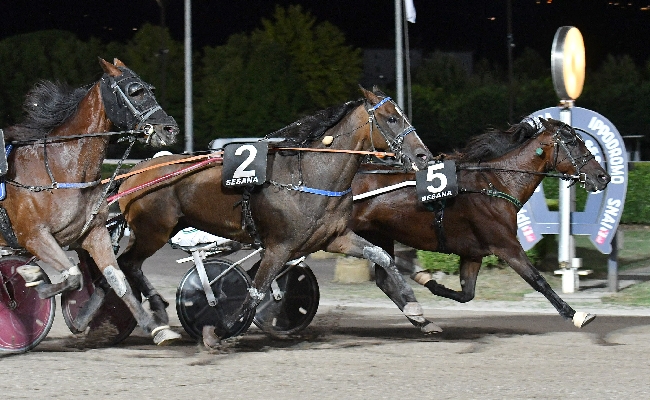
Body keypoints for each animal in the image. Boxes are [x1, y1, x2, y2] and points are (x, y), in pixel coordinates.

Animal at [0, 57, 180, 346]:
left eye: (151, 89)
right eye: (135, 91)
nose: (170, 128)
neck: (60, 170)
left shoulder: (93, 233)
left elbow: (117, 280)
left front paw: (155, 327)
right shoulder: (33, 236)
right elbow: (72, 277)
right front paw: (34, 278)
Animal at [117, 86, 438, 342]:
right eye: (392, 118)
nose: (423, 155)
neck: (309, 177)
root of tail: (135, 172)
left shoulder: (335, 238)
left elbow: (382, 256)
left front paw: (418, 313)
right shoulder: (278, 247)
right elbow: (255, 291)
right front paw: (220, 329)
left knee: (128, 265)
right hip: (152, 231)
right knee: (127, 263)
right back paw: (154, 316)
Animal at [350, 116, 608, 328]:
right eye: (572, 142)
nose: (603, 177)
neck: (496, 185)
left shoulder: (472, 253)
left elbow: (467, 293)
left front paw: (427, 280)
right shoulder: (506, 245)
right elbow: (538, 280)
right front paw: (575, 314)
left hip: (379, 234)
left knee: (384, 280)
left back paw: (422, 321)